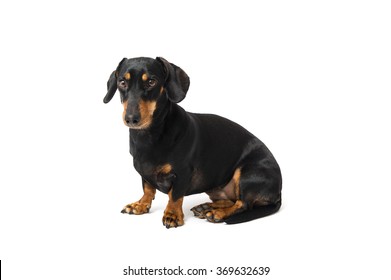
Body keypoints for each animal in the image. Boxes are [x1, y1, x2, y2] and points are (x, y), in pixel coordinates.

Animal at [104, 57, 282, 228]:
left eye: (151, 82)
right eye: (122, 82)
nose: (131, 119)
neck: (149, 136)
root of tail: (279, 193)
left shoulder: (183, 173)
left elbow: (175, 196)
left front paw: (172, 215)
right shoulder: (144, 173)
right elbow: (147, 189)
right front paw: (140, 205)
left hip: (248, 173)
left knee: (242, 204)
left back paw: (218, 213)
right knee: (230, 200)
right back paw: (207, 207)